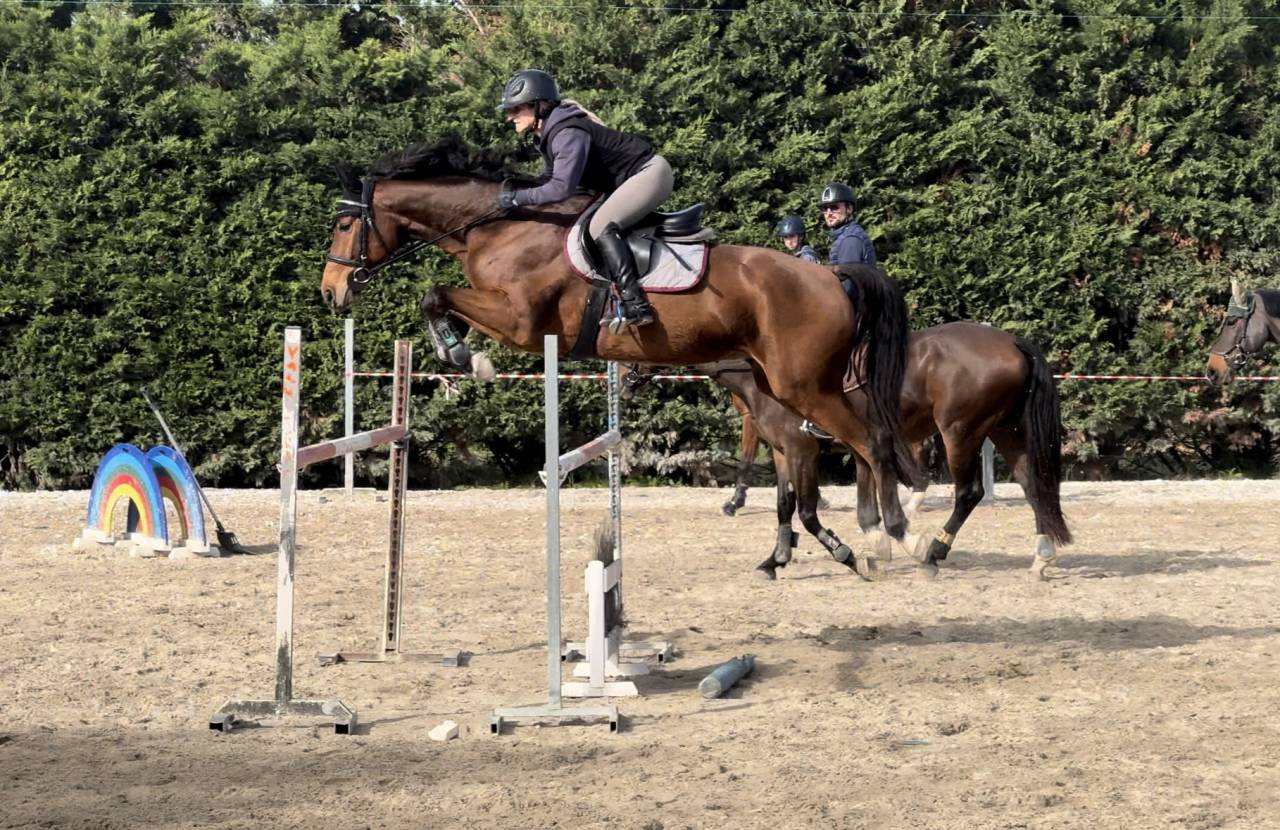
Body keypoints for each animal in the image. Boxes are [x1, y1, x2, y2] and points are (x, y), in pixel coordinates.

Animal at [320, 139, 921, 567]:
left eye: (346, 223)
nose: (331, 292)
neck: (500, 230)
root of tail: (832, 276)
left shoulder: (520, 322)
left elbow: (435, 294)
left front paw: (463, 355)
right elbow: (436, 296)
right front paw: (459, 354)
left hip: (805, 384)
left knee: (872, 441)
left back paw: (895, 533)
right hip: (782, 384)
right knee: (844, 443)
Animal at [664, 323, 1070, 580]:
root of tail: (1012, 342)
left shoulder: (801, 451)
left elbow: (807, 512)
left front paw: (848, 553)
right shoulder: (784, 452)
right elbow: (789, 507)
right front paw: (775, 560)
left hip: (960, 432)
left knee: (969, 492)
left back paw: (934, 553)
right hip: (1005, 431)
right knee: (1033, 486)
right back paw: (1041, 558)